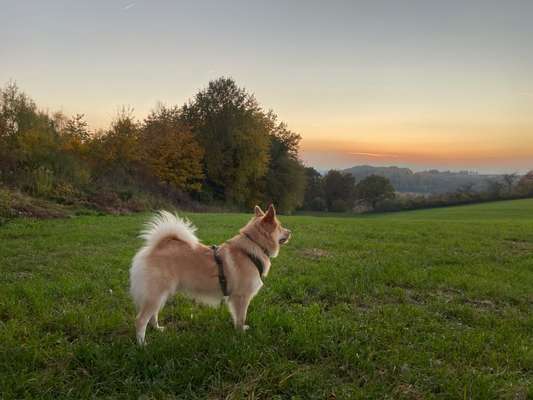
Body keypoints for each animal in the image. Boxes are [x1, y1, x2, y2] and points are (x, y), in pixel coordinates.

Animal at [129, 205, 290, 346]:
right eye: (280, 227)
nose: (290, 231)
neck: (254, 246)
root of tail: (156, 247)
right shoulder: (241, 297)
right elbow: (241, 317)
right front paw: (241, 334)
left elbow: (236, 316)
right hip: (156, 293)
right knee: (141, 320)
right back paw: (142, 344)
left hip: (160, 294)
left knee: (153, 315)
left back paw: (157, 329)